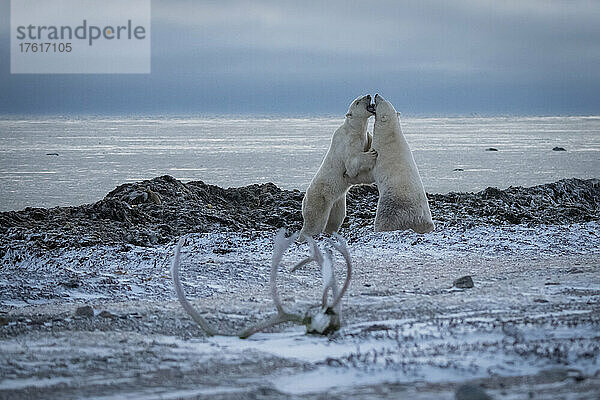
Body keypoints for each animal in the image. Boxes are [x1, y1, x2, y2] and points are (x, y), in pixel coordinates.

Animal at [298, 95, 378, 239]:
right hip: (320, 199)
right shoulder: (348, 142)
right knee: (314, 223)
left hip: (337, 201)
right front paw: (371, 154)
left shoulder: (361, 138)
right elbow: (351, 164)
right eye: (358, 101)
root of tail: (305, 200)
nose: (369, 95)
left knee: (335, 219)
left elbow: (367, 140)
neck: (353, 129)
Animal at [350, 95, 434, 233]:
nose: (376, 94)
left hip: (390, 204)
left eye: (382, 101)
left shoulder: (379, 153)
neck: (390, 136)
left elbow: (369, 168)